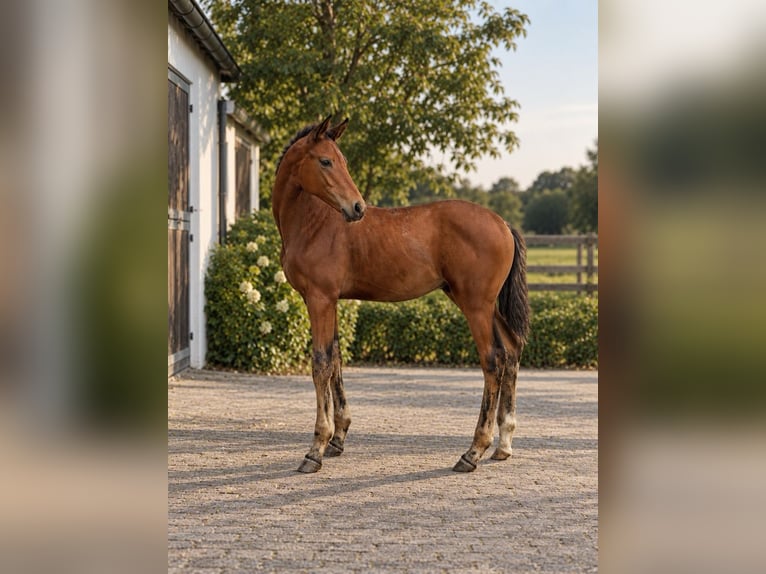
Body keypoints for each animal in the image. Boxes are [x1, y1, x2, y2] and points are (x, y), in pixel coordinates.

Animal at [272, 115, 530, 473]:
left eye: (341, 161)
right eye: (326, 161)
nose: (357, 208)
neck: (314, 222)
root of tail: (503, 223)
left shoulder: (319, 299)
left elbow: (321, 364)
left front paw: (316, 449)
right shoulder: (331, 301)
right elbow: (336, 359)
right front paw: (338, 437)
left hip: (476, 306)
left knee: (493, 362)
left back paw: (473, 451)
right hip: (485, 305)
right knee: (511, 351)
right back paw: (503, 444)